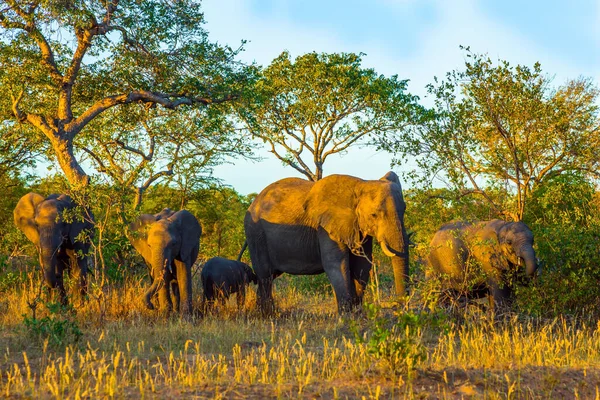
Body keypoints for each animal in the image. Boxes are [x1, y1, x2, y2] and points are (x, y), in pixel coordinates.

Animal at [243, 172, 408, 316]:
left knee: (270, 276)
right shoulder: (326, 228)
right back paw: (267, 315)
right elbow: (336, 264)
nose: (397, 308)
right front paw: (346, 317)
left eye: (404, 210)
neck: (361, 184)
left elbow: (361, 266)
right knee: (265, 276)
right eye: (374, 215)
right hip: (255, 233)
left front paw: (356, 314)